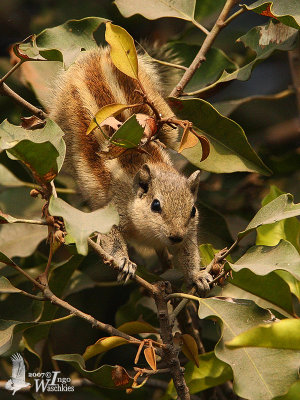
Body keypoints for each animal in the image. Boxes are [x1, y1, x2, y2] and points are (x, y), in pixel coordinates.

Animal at [48, 47, 211, 292]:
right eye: (155, 205)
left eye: (192, 210)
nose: (175, 236)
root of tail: (99, 55)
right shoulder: (113, 212)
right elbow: (111, 237)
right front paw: (124, 261)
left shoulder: (189, 233)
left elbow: (188, 251)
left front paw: (197, 275)